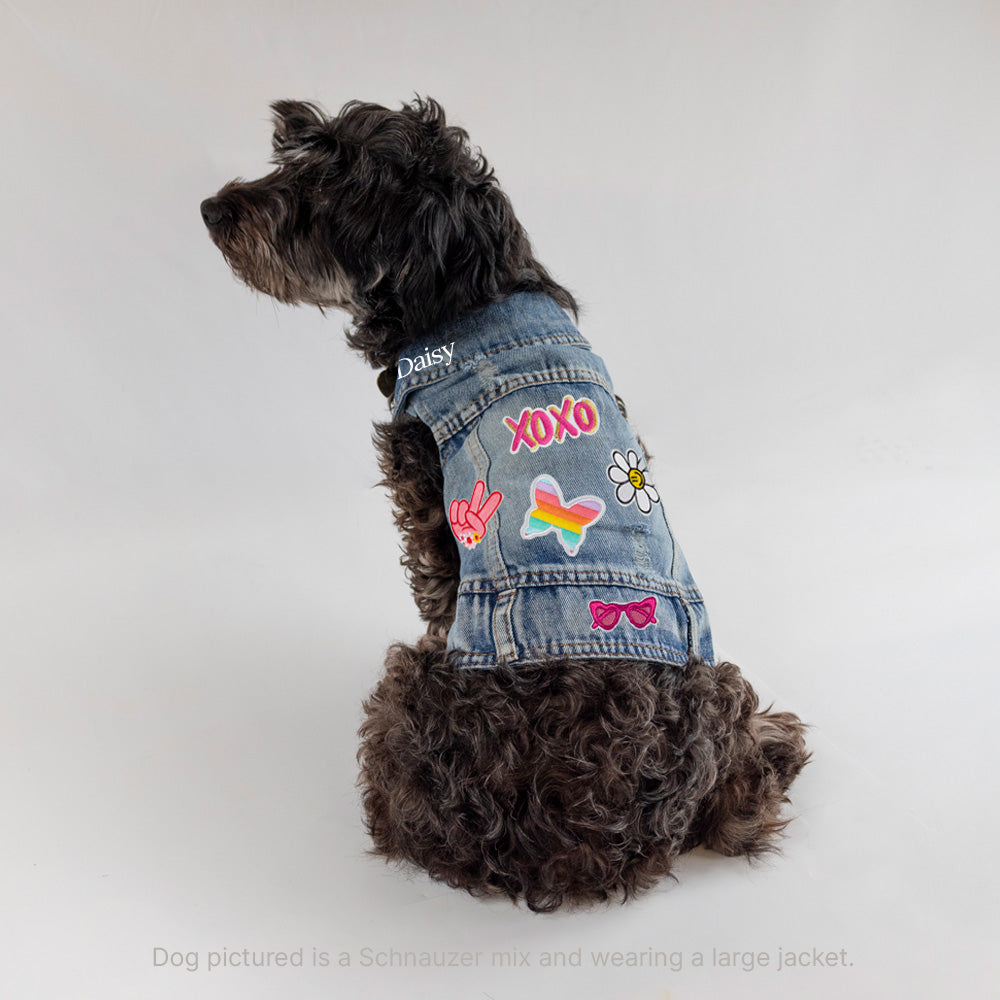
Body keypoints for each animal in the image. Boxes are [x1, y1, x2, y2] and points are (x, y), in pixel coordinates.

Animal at [199, 97, 808, 912]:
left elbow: (435, 593)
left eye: (326, 185)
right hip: (718, 680)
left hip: (411, 700)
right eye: (292, 159)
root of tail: (609, 848)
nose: (212, 209)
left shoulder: (429, 505)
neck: (473, 292)